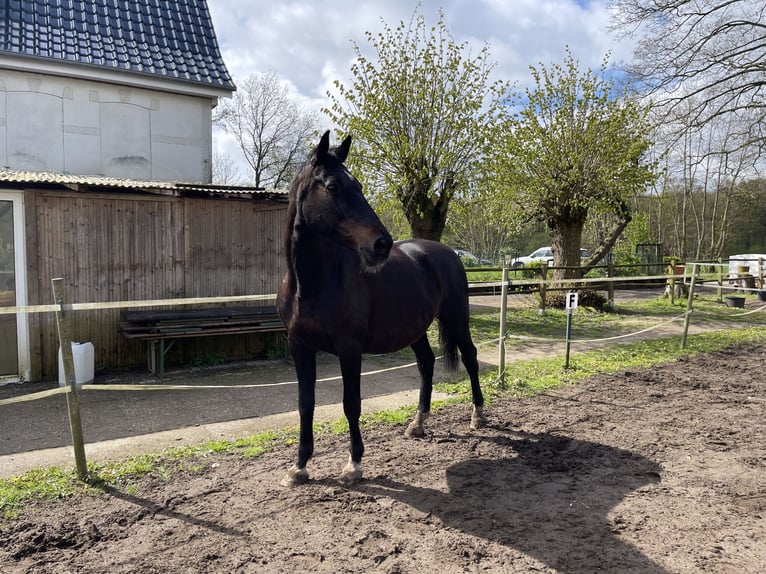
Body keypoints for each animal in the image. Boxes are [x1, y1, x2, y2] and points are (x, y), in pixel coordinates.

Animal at [280, 133, 488, 488]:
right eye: (333, 186)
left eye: (359, 185)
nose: (381, 244)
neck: (311, 284)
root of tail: (447, 252)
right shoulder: (299, 348)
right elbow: (305, 405)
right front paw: (300, 467)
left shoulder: (349, 350)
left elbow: (351, 404)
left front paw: (354, 465)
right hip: (416, 329)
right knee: (426, 363)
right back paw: (418, 424)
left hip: (457, 319)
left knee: (471, 358)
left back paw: (478, 416)